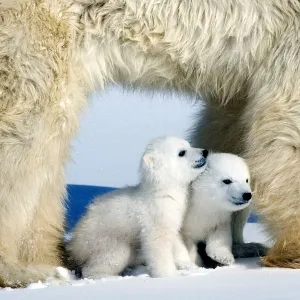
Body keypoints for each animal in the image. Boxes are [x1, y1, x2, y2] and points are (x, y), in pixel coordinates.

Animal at [67, 137, 209, 278]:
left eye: (189, 145)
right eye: (181, 152)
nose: (205, 151)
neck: (163, 192)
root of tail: (75, 245)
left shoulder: (172, 218)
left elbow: (177, 241)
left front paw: (190, 266)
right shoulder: (154, 219)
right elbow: (157, 245)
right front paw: (169, 275)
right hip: (104, 240)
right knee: (110, 257)